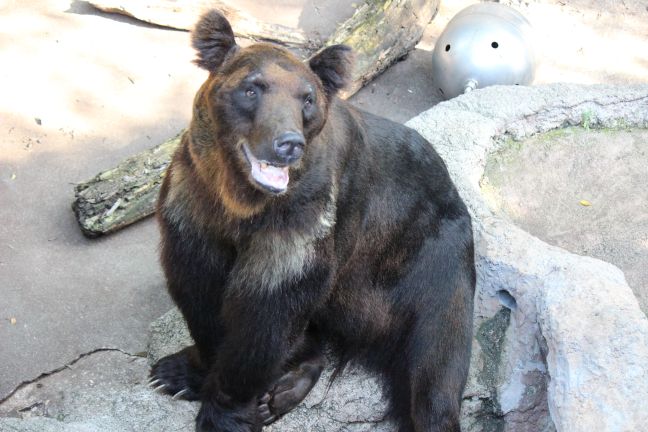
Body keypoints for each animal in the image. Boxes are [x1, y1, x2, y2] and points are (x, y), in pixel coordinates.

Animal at [151, 9, 476, 432]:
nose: (288, 143)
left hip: (431, 260)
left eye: (306, 99)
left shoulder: (301, 221)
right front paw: (178, 372)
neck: (240, 203)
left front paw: (224, 413)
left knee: (437, 356)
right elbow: (199, 289)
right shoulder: (194, 204)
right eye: (252, 88)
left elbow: (266, 316)